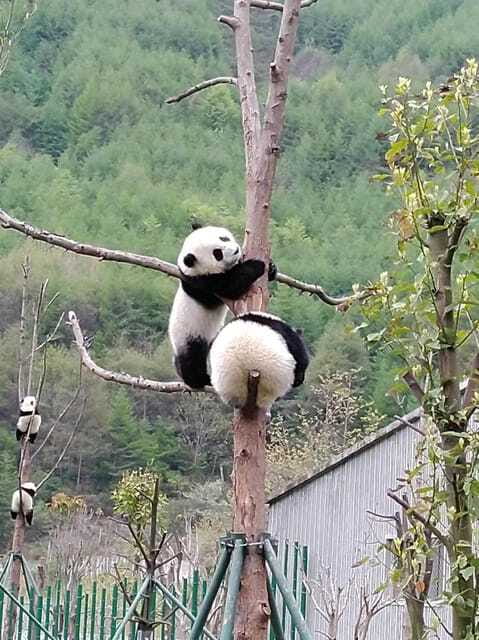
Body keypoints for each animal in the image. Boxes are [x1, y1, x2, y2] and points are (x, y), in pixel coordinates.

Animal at [168, 225, 273, 389]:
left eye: (223, 238)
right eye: (217, 253)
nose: (235, 250)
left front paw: (272, 268)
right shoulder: (202, 284)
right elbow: (231, 286)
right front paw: (257, 265)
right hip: (189, 335)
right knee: (192, 358)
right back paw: (199, 380)